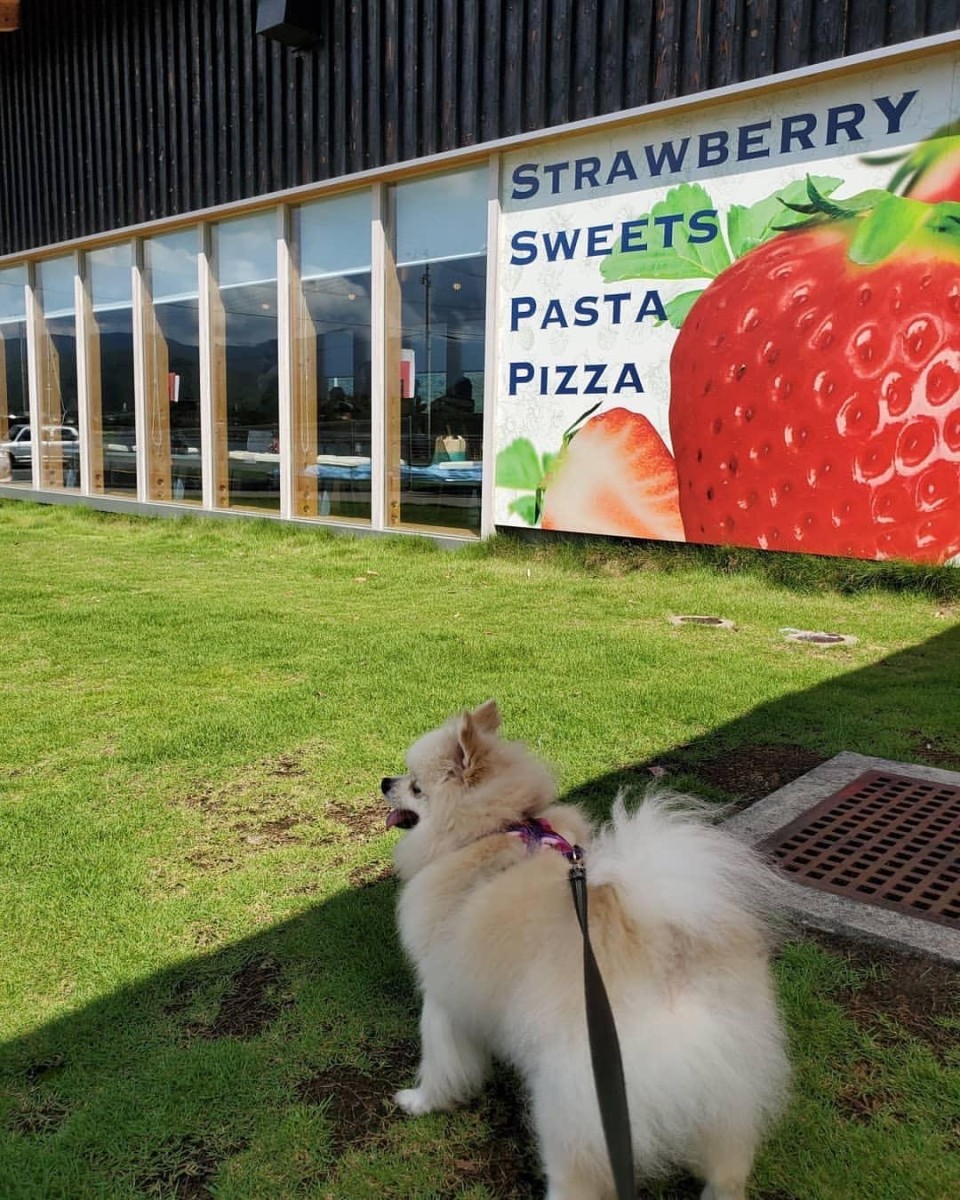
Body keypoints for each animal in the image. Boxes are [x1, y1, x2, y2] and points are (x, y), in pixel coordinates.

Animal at [382, 700, 789, 1200]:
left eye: (416, 786)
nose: (384, 782)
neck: (497, 828)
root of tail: (673, 985)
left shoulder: (442, 996)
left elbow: (439, 1061)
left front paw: (419, 1101)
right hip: (728, 1101)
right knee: (729, 1170)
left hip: (572, 1110)